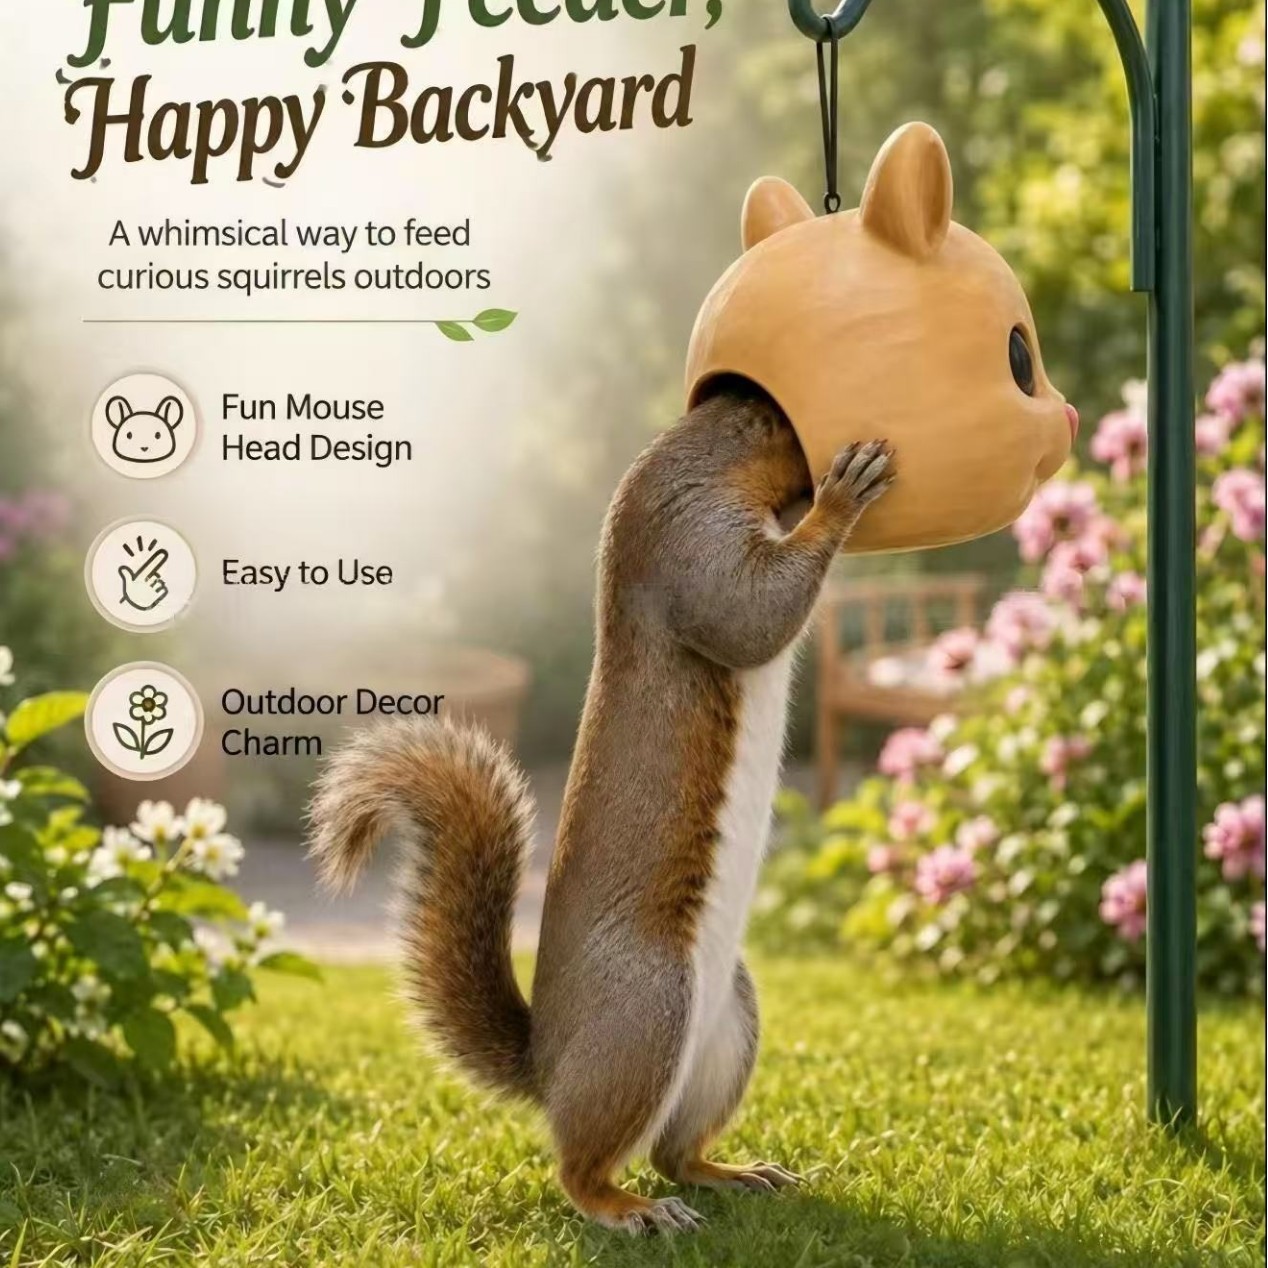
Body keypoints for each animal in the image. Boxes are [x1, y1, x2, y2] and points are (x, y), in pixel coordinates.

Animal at [308, 378, 894, 1234]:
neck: (693, 459)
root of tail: (549, 1067)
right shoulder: (689, 544)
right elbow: (750, 612)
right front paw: (843, 497)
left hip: (729, 1024)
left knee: (675, 1152)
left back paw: (729, 1172)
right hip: (645, 1010)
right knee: (584, 1167)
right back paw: (630, 1209)